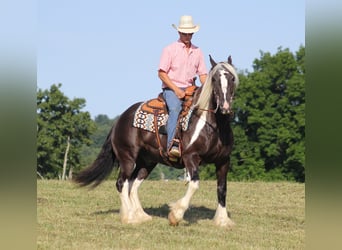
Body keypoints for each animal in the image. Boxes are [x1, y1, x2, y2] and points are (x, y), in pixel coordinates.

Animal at [74, 55, 240, 229]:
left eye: (232, 78)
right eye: (214, 79)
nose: (225, 107)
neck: (211, 125)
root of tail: (120, 119)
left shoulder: (223, 161)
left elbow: (222, 188)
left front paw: (222, 220)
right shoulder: (191, 157)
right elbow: (194, 184)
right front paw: (176, 215)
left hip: (147, 161)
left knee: (133, 184)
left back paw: (141, 216)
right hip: (127, 158)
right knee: (121, 183)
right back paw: (129, 217)